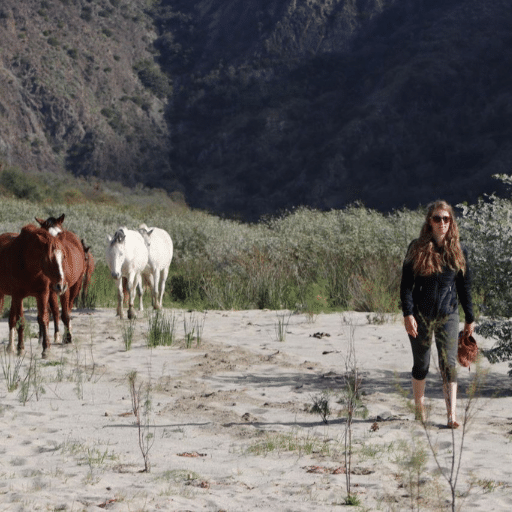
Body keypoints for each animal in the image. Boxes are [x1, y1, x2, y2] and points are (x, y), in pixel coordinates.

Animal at [0, 226, 67, 358]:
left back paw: (10, 347)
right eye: (49, 258)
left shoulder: (42, 294)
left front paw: (46, 349)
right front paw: (21, 348)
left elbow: (44, 319)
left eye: (63, 257)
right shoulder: (18, 296)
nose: (61, 286)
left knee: (11, 319)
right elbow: (21, 322)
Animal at [35, 214, 86, 342]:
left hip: (76, 285)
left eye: (59, 233)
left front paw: (68, 337)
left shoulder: (64, 288)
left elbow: (65, 314)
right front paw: (55, 335)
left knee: (69, 307)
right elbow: (54, 311)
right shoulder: (50, 289)